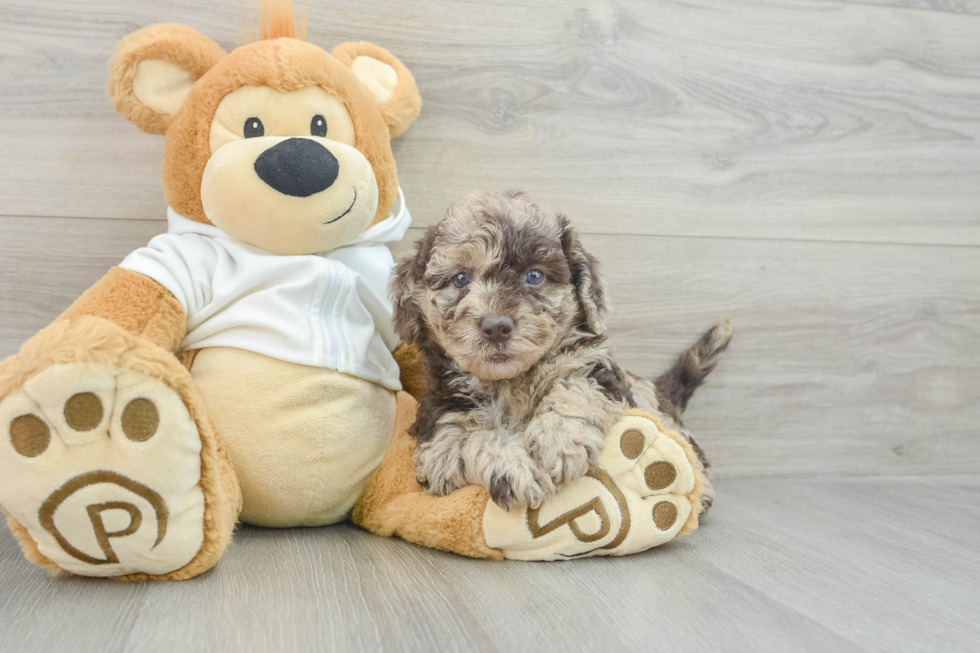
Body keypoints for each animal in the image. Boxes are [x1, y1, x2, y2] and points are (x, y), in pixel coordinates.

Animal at [390, 191, 728, 512]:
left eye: (534, 276)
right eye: (460, 279)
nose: (496, 326)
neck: (511, 382)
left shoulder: (595, 369)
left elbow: (575, 389)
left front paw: (559, 439)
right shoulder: (439, 434)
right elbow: (471, 440)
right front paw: (514, 468)